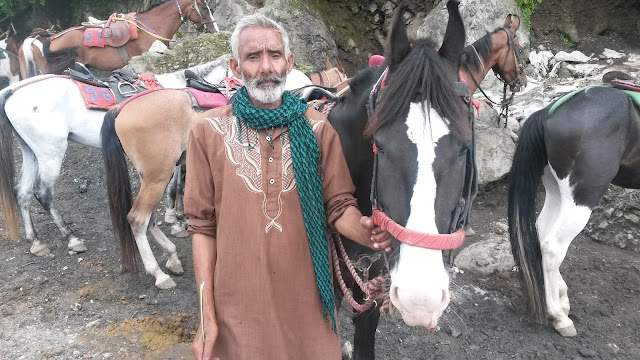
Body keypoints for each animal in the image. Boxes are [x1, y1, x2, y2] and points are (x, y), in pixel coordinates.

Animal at [0, 60, 310, 258]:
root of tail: (14, 90)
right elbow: (176, 187)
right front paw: (176, 218)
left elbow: (181, 186)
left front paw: (178, 218)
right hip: (51, 152)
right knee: (43, 193)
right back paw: (71, 237)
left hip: (31, 152)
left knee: (22, 192)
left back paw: (35, 240)